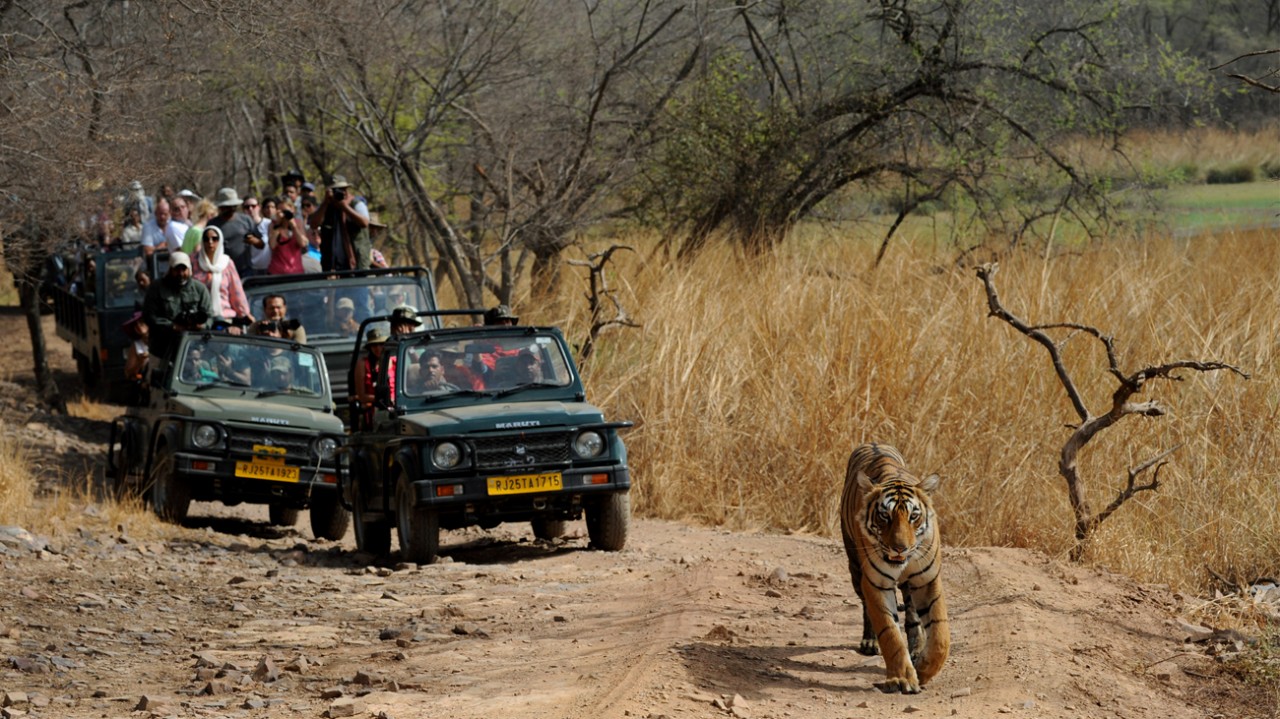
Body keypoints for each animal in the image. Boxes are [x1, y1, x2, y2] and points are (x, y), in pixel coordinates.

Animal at [839, 440, 952, 690]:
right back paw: (870, 642)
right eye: (884, 516)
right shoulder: (877, 583)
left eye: (913, 516)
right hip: (855, 567)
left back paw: (917, 647)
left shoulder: (927, 579)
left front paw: (924, 670)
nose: (900, 548)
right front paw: (902, 678)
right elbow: (889, 632)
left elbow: (940, 634)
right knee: (867, 608)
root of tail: (874, 442)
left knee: (912, 615)